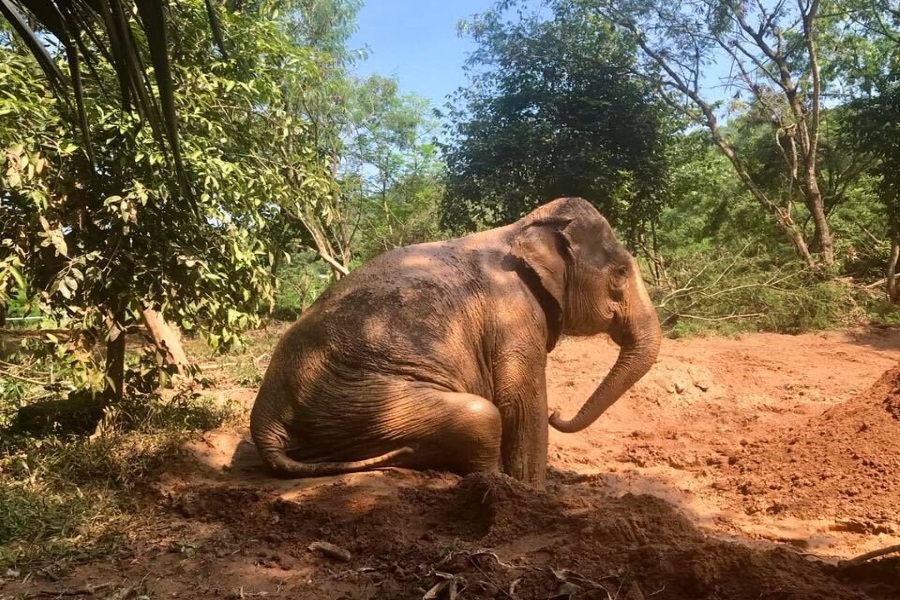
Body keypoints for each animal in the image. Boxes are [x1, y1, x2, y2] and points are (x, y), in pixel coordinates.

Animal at [248, 197, 660, 488]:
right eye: (620, 273)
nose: (558, 413)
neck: (521, 228)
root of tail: (264, 421)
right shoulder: (512, 313)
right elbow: (520, 402)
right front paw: (534, 492)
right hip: (355, 400)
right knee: (481, 417)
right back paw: (491, 481)